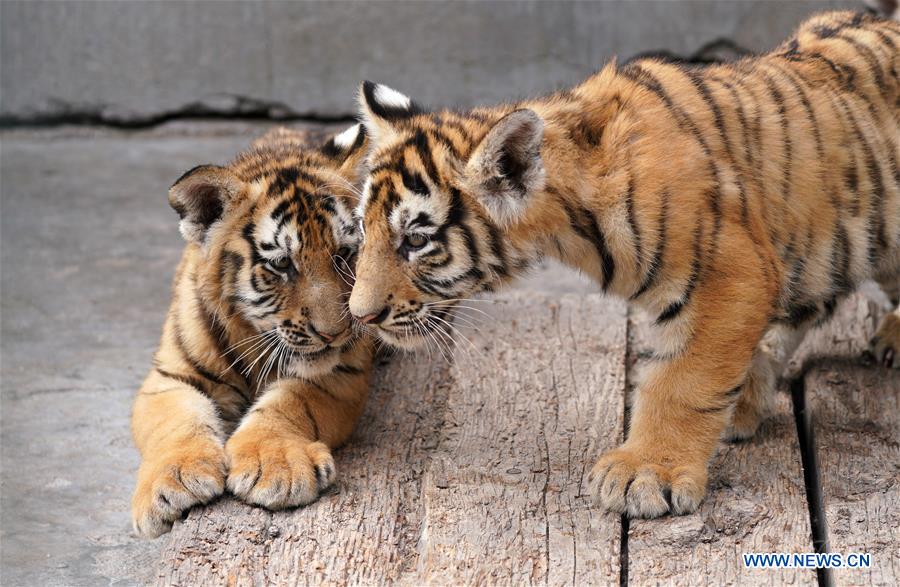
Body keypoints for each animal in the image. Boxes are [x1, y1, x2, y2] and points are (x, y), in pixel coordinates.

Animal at [131, 124, 373, 538]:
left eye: (343, 254)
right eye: (281, 264)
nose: (335, 333)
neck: (254, 338)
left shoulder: (342, 374)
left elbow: (291, 402)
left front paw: (276, 467)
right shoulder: (168, 378)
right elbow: (174, 420)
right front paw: (173, 481)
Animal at [347, 10, 900, 518]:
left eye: (416, 240)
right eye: (365, 231)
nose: (360, 316)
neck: (570, 224)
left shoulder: (730, 273)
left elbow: (682, 380)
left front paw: (647, 472)